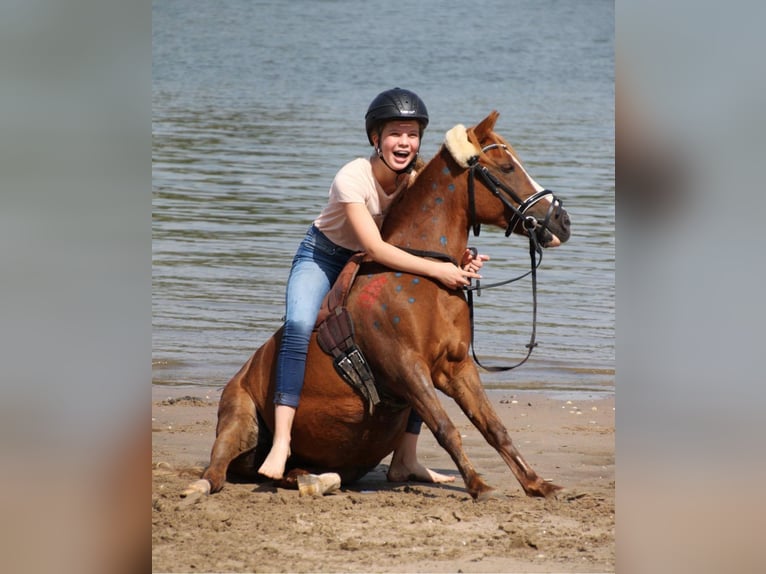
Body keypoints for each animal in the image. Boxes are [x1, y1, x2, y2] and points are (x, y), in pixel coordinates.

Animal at [195, 111, 572, 500]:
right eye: (507, 167)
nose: (563, 221)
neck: (420, 274)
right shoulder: (405, 366)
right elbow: (446, 428)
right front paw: (480, 486)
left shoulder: (455, 367)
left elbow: (493, 427)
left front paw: (539, 484)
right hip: (240, 418)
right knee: (219, 468)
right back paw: (204, 485)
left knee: (300, 472)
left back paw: (316, 480)